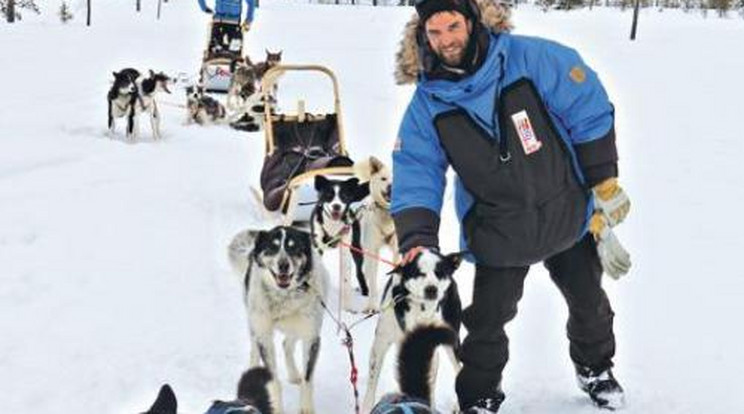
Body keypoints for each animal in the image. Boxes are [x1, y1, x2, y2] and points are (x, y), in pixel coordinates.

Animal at [227, 225, 328, 414]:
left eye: (294, 247)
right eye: (272, 247)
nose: (283, 265)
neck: (284, 296)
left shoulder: (311, 337)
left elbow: (307, 379)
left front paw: (306, 408)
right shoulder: (264, 337)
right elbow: (273, 380)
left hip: (297, 328)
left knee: (287, 344)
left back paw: (294, 374)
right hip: (254, 325)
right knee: (254, 348)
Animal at [362, 247, 462, 412]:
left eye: (440, 272)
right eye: (418, 272)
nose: (431, 289)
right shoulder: (380, 344)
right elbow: (372, 378)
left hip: (452, 341)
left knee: (458, 368)